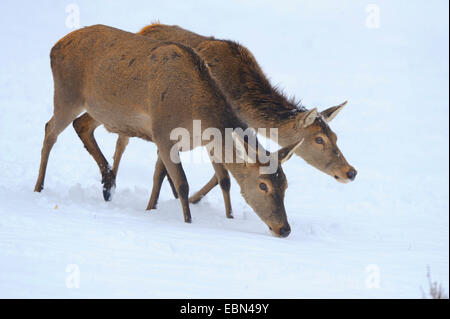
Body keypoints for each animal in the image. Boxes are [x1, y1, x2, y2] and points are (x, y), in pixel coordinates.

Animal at [34, 25, 302, 238]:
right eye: (263, 185)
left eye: (286, 185)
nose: (285, 229)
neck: (198, 117)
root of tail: (55, 46)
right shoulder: (163, 133)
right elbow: (182, 183)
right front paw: (187, 221)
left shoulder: (174, 142)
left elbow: (163, 176)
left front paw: (151, 209)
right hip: (67, 94)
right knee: (50, 130)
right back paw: (39, 188)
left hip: (95, 108)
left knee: (78, 127)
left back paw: (108, 184)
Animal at [72, 23, 356, 208]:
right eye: (319, 139)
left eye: (336, 136)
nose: (350, 171)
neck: (240, 97)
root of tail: (145, 29)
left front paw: (190, 198)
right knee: (110, 134)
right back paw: (109, 186)